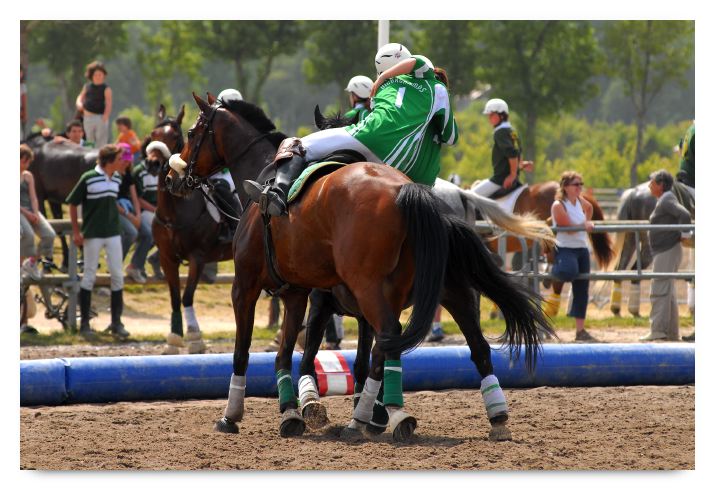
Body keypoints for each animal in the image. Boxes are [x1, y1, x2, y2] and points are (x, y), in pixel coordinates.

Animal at [149, 102, 286, 354]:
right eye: (153, 134)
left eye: (178, 135)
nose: (154, 164)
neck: (175, 212)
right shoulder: (167, 258)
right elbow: (175, 297)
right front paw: (174, 338)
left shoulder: (198, 257)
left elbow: (187, 296)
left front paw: (195, 338)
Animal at [166, 92, 554, 442]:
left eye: (191, 132)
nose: (172, 177)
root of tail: (409, 192)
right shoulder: (299, 295)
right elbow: (296, 355)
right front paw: (295, 412)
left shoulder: (249, 288)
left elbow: (250, 352)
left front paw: (236, 414)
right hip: (447, 291)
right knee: (474, 347)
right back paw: (492, 417)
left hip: (372, 289)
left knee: (392, 339)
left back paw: (375, 419)